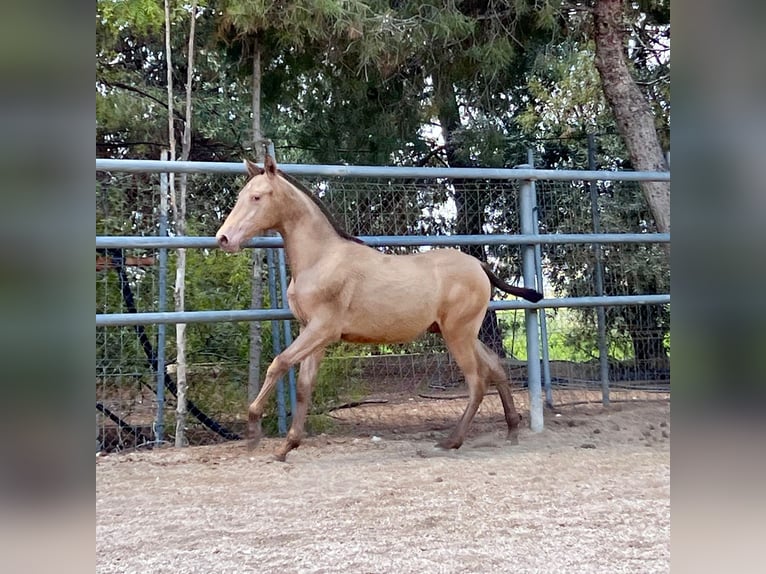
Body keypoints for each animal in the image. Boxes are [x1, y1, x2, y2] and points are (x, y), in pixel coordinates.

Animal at [216, 154, 544, 464]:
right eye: (241, 195)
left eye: (257, 197)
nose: (223, 238)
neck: (321, 258)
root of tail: (479, 265)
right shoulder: (312, 332)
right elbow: (304, 385)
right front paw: (286, 447)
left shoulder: (322, 329)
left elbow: (279, 363)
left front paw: (253, 432)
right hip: (459, 331)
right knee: (494, 365)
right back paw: (512, 430)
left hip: (458, 334)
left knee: (477, 381)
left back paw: (450, 441)